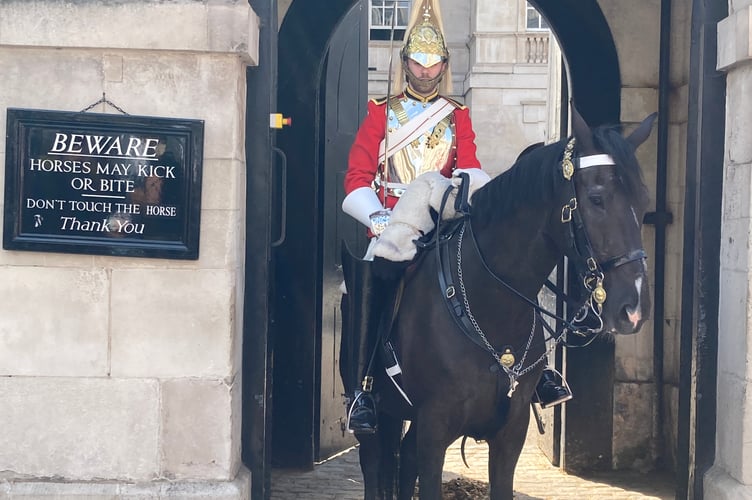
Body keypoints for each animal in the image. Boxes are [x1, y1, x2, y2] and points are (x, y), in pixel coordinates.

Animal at [344, 107, 656, 498]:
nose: (634, 308)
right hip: (377, 417)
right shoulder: (435, 428)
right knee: (374, 463)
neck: (490, 307)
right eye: (597, 199)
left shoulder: (510, 434)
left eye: (643, 201)